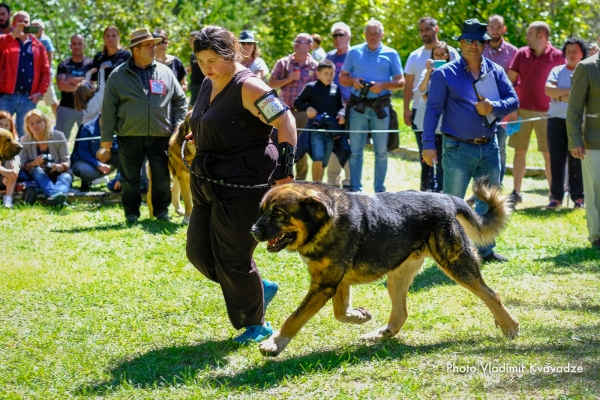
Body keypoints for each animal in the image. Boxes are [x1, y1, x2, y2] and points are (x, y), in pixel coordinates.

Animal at [251, 178, 516, 356]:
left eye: (278, 213)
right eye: (262, 210)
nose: (253, 231)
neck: (325, 220)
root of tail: (446, 198)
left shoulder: (324, 285)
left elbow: (294, 318)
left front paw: (275, 343)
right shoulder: (335, 282)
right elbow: (340, 313)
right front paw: (359, 316)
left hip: (456, 264)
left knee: (491, 294)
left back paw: (509, 326)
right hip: (397, 277)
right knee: (401, 313)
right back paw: (380, 333)